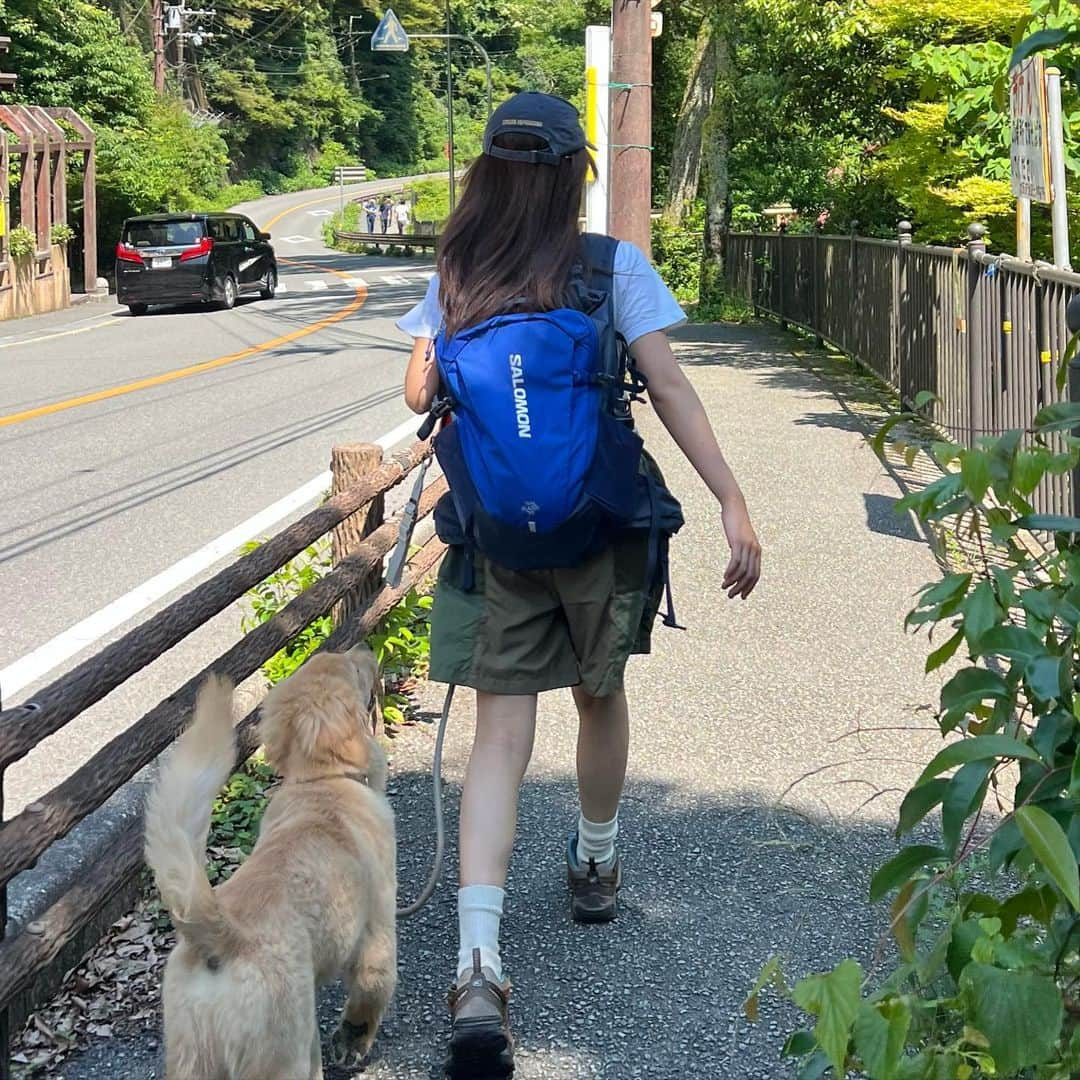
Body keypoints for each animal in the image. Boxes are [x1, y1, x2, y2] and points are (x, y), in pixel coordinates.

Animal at [144, 648, 397, 1080]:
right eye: (355, 669)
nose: (365, 650)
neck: (322, 782)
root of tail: (221, 936)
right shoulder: (378, 929)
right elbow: (370, 993)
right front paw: (353, 1042)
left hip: (193, 1056)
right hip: (288, 1051)